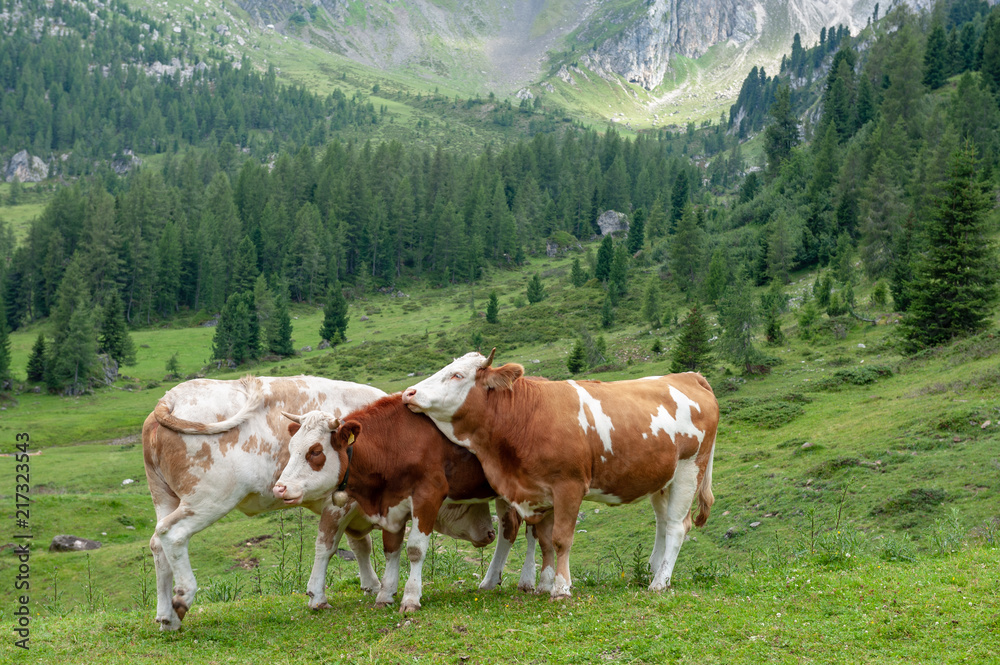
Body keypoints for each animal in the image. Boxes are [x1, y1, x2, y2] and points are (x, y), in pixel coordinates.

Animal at [143, 374, 494, 628]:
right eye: (470, 500)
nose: (489, 533)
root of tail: (170, 397)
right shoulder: (340, 504)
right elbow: (327, 546)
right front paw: (318, 595)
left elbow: (360, 546)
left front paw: (371, 584)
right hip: (207, 502)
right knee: (173, 535)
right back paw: (183, 597)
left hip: (165, 498)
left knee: (158, 543)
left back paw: (165, 616)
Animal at [272, 394, 556, 612]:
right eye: (292, 447)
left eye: (315, 451)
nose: (279, 487)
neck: (395, 442)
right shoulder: (391, 505)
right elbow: (391, 549)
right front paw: (385, 593)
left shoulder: (428, 496)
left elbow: (415, 549)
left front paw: (410, 597)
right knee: (510, 528)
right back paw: (492, 580)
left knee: (529, 530)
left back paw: (528, 580)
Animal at [398, 350, 720, 600]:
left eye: (457, 376)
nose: (409, 393)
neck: (526, 417)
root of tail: (687, 376)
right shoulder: (539, 490)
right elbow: (544, 540)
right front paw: (543, 583)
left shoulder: (569, 486)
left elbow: (561, 538)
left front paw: (561, 587)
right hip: (662, 479)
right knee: (663, 523)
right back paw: (654, 570)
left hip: (689, 469)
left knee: (677, 526)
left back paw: (660, 582)